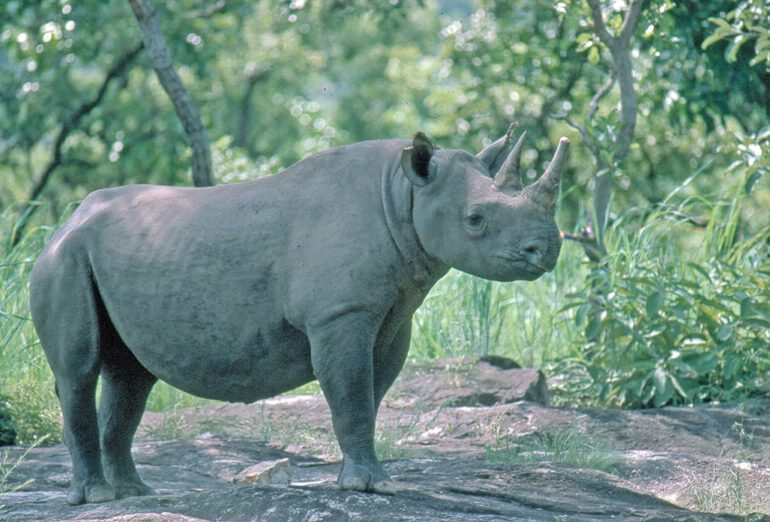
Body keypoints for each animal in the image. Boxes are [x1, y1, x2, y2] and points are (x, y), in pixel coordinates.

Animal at [29, 128, 569, 505]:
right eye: (475, 219)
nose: (546, 250)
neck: (403, 194)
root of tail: (66, 220)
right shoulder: (340, 314)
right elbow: (351, 396)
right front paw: (368, 487)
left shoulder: (392, 317)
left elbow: (369, 396)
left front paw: (363, 480)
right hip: (64, 259)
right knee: (79, 371)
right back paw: (97, 497)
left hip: (110, 257)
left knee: (131, 376)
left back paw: (135, 494)